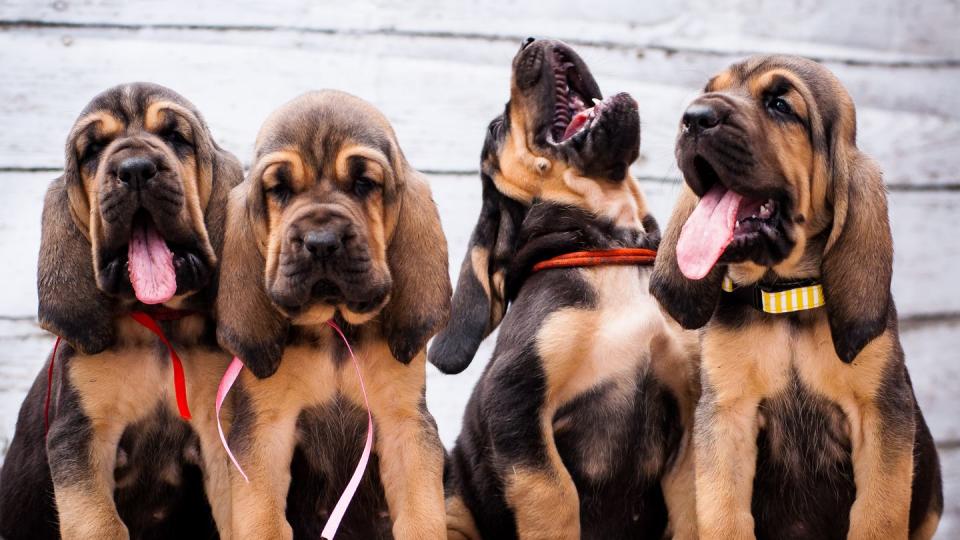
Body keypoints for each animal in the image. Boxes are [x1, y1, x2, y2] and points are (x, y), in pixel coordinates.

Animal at [216, 90, 452, 536]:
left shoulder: (405, 427)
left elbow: (422, 519)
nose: (322, 242)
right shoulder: (265, 432)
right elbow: (264, 522)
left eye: (363, 184)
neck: (335, 325)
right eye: (279, 189)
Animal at [432, 39, 700, 540]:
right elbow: (554, 496)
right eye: (496, 128)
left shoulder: (689, 417)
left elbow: (699, 509)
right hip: (452, 504)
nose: (529, 39)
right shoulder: (516, 400)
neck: (610, 249)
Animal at [648, 56, 940, 540]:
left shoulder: (881, 414)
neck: (785, 298)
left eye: (781, 105)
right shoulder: (726, 416)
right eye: (708, 91)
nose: (694, 117)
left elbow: (877, 514)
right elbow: (725, 516)